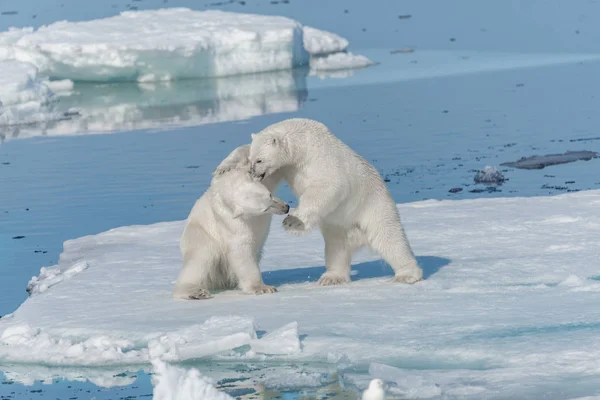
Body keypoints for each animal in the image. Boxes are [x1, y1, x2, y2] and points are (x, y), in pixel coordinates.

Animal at [171, 145, 288, 300]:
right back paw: (196, 292)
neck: (225, 188)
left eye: (269, 194)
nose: (286, 207)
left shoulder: (263, 180)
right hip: (200, 236)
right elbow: (241, 249)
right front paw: (263, 288)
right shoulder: (233, 222)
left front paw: (224, 167)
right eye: (265, 209)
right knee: (200, 260)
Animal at [247, 117, 422, 286]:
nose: (253, 173)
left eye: (259, 160)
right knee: (336, 249)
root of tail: (359, 237)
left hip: (375, 208)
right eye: (250, 159)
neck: (302, 143)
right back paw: (331, 278)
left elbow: (328, 186)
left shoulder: (320, 158)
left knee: (389, 238)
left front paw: (292, 222)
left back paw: (406, 275)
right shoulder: (287, 167)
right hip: (338, 227)